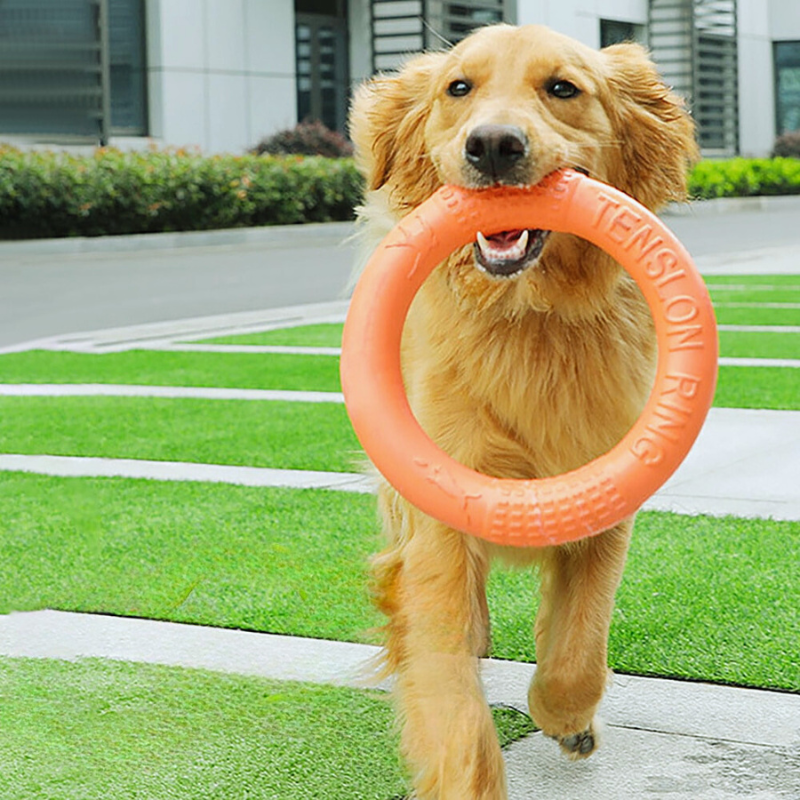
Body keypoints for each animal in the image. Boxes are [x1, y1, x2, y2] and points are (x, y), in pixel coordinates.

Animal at [348, 21, 692, 796]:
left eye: (562, 88)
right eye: (458, 87)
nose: (493, 145)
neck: (528, 315)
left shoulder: (603, 496)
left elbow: (579, 644)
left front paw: (567, 720)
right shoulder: (440, 511)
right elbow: (446, 675)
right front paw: (465, 772)